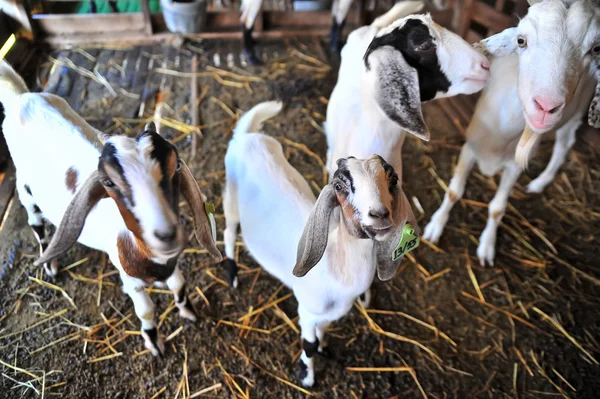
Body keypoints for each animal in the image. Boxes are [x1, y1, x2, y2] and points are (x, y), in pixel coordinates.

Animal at [0, 61, 223, 356]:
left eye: (176, 165)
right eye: (108, 183)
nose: (166, 235)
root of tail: (20, 97)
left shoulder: (171, 263)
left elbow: (179, 283)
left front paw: (188, 311)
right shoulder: (130, 277)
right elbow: (146, 310)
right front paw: (154, 343)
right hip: (24, 184)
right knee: (35, 220)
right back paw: (49, 263)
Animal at [223, 101, 420, 390]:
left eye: (392, 179)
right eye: (339, 186)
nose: (380, 215)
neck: (334, 265)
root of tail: (246, 136)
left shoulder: (327, 314)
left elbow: (322, 333)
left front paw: (325, 349)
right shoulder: (306, 310)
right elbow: (309, 343)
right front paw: (307, 377)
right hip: (230, 198)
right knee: (228, 232)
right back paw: (232, 273)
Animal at [422, 0, 600, 268]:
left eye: (594, 49)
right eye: (521, 41)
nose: (546, 107)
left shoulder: (515, 166)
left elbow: (497, 208)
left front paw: (487, 247)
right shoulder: (469, 147)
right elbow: (453, 191)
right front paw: (435, 227)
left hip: (575, 114)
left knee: (564, 144)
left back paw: (539, 182)